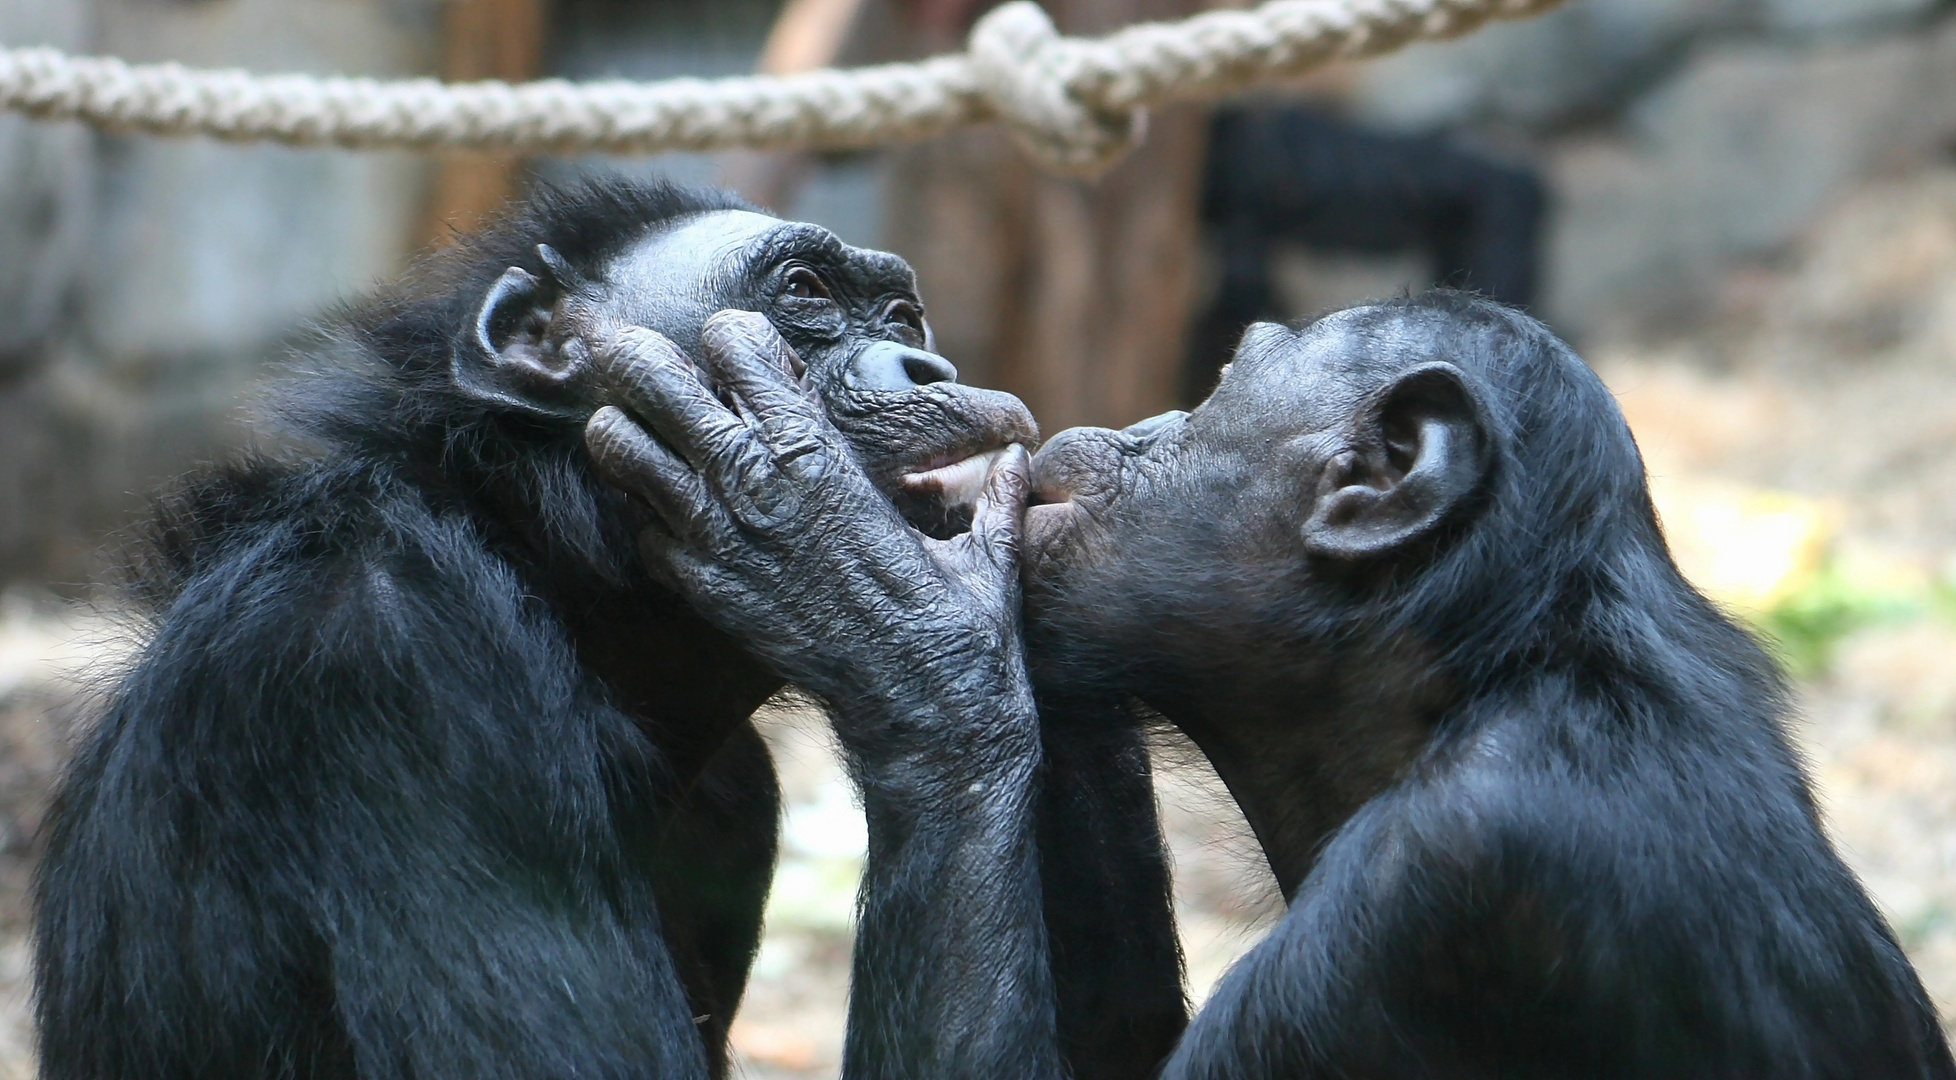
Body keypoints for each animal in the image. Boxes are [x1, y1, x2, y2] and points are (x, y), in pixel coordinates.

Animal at [30, 180, 1181, 1080]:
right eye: (806, 294)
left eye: (903, 315)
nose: (927, 369)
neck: (563, 596)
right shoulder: (389, 660)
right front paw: (874, 589)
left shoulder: (739, 797)